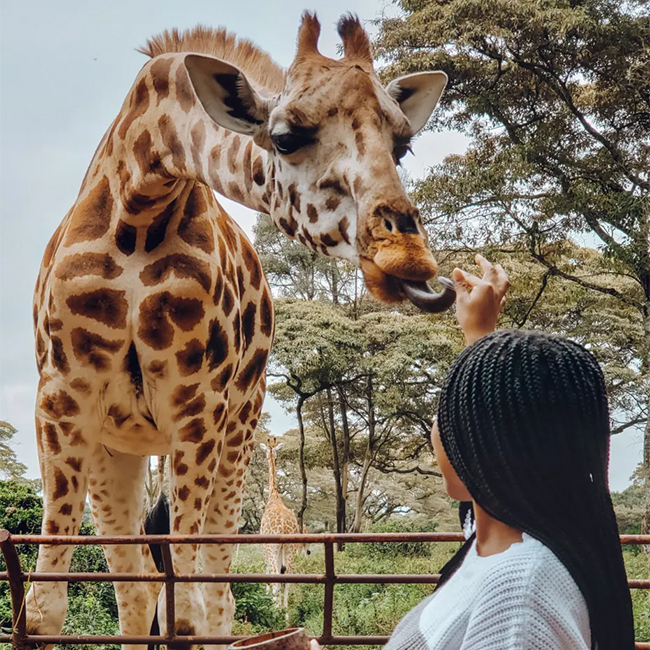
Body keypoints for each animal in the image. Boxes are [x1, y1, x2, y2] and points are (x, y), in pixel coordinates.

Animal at [260, 436, 308, 612]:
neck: (273, 496)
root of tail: (283, 526)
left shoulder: (265, 549)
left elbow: (268, 574)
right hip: (290, 550)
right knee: (287, 579)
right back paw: (285, 614)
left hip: (273, 548)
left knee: (275, 578)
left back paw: (274, 613)